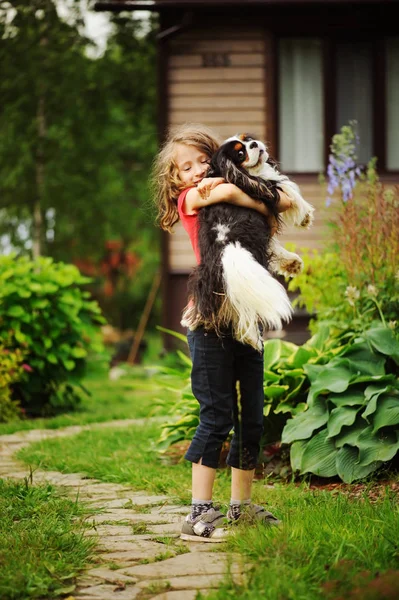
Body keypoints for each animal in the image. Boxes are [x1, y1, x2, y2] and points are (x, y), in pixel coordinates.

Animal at [182, 134, 316, 350]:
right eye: (240, 153)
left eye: (248, 139)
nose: (254, 144)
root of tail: (228, 245)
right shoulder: (266, 190)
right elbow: (288, 187)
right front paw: (305, 216)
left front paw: (292, 264)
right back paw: (253, 338)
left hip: (209, 280)